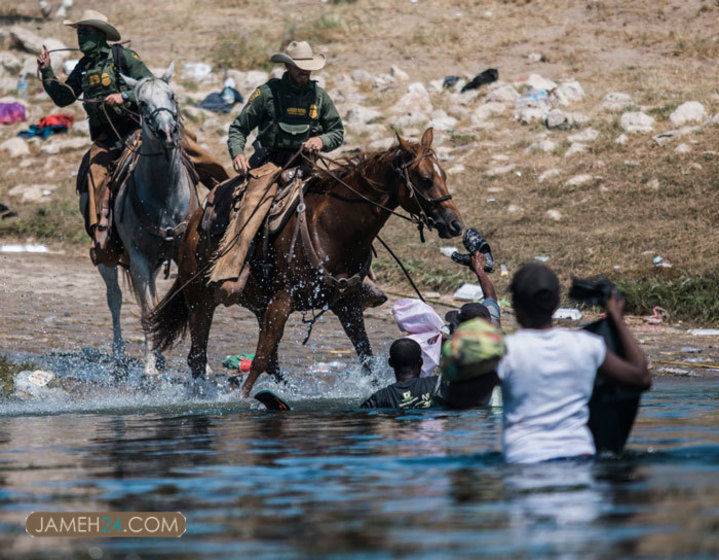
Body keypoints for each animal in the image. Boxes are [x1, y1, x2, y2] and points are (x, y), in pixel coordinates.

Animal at [93, 62, 201, 376]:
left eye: (172, 95)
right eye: (141, 103)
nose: (167, 132)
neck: (164, 196)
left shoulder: (183, 253)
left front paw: (203, 368)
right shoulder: (139, 258)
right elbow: (147, 310)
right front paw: (150, 367)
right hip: (108, 258)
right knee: (115, 298)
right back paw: (120, 356)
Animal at [148, 128, 462, 398]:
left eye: (444, 176)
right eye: (425, 178)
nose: (455, 224)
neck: (332, 228)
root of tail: (192, 225)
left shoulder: (346, 304)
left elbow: (366, 356)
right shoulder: (283, 301)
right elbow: (260, 357)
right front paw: (242, 398)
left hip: (257, 304)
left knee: (270, 361)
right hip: (200, 299)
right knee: (197, 356)